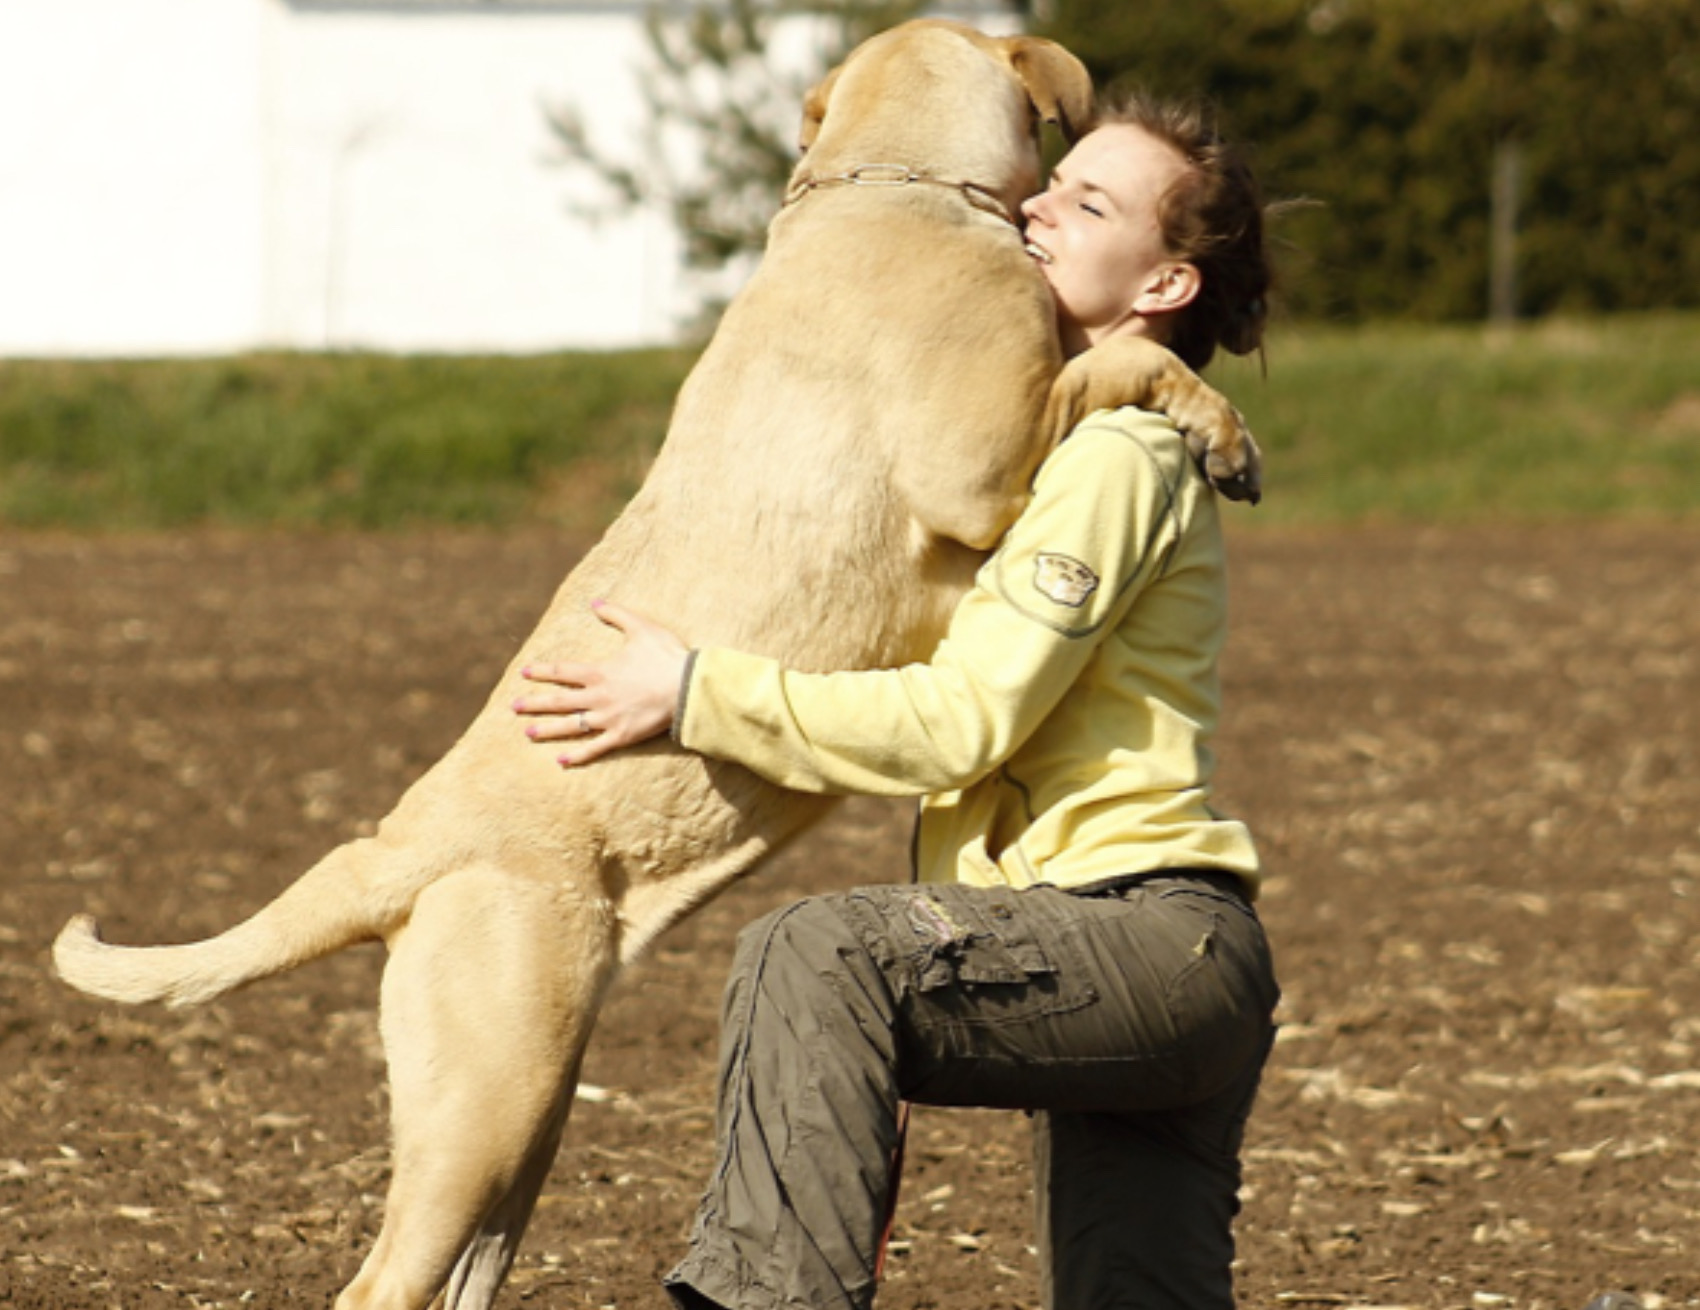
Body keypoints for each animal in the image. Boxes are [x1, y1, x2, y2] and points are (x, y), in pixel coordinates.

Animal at [53, 20, 1258, 1310]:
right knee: (380, 1283)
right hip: (486, 1099)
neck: (890, 186)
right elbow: (1123, 369)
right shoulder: (984, 469)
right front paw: (1223, 433)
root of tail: (390, 847)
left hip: (525, 1105)